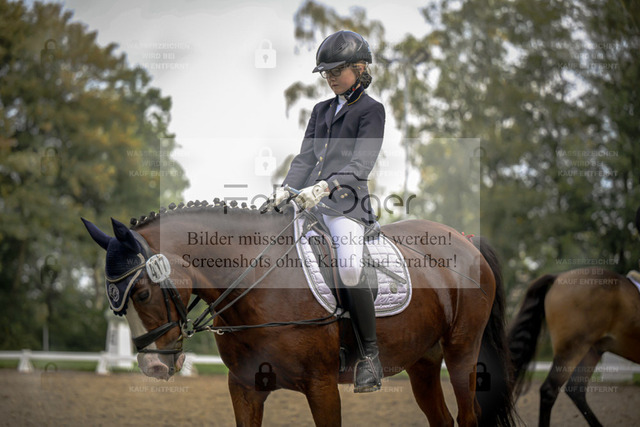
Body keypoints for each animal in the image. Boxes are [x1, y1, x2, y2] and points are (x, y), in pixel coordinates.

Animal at [82, 200, 516, 426]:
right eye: (115, 303)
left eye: (141, 292)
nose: (153, 367)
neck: (256, 281)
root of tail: (466, 239)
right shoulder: (243, 388)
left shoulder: (321, 387)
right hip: (423, 361)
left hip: (461, 351)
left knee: (469, 415)